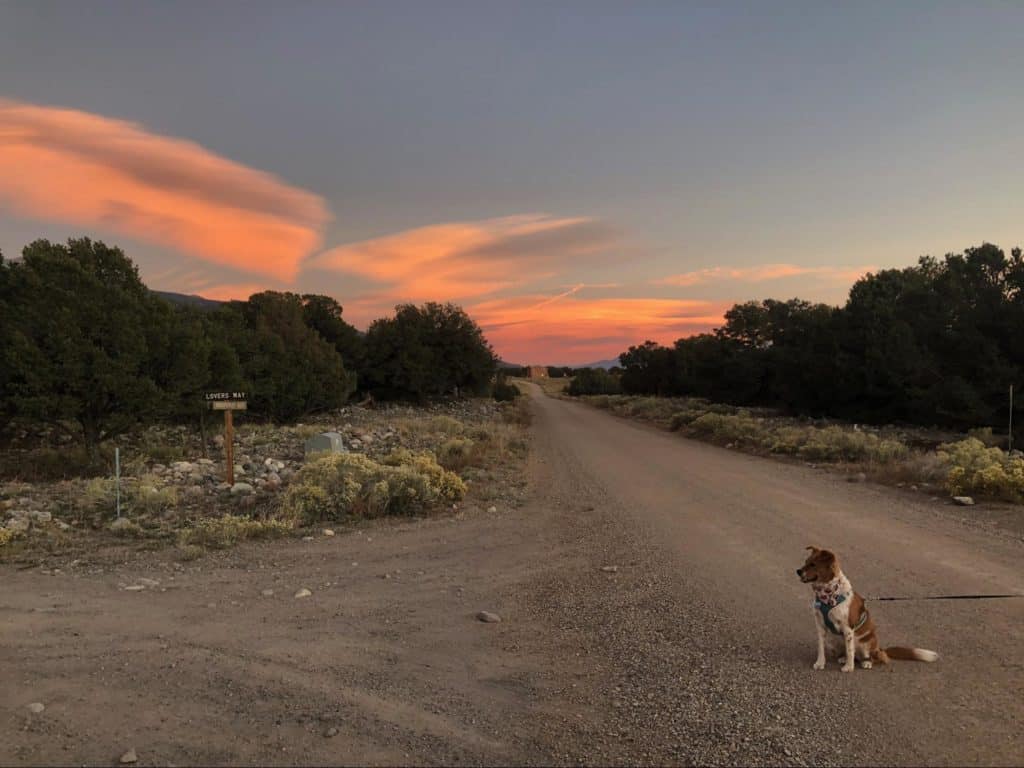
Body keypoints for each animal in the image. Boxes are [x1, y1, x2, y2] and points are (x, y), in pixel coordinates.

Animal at [798, 548, 937, 671]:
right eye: (806, 561)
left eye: (813, 564)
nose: (798, 571)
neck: (829, 594)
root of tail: (880, 649)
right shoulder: (820, 626)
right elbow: (821, 648)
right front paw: (820, 663)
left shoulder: (848, 629)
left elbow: (850, 650)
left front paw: (849, 668)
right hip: (836, 639)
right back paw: (844, 658)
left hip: (866, 643)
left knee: (875, 658)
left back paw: (866, 663)